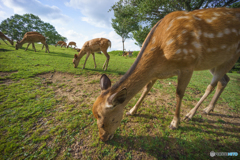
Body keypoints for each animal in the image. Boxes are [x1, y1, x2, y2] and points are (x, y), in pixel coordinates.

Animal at [91, 6, 240, 141]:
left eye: (104, 122)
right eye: (94, 117)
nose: (103, 138)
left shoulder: (188, 65)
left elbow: (179, 93)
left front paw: (174, 123)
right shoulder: (155, 72)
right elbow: (146, 90)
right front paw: (132, 111)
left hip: (231, 57)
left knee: (211, 86)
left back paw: (191, 114)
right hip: (213, 62)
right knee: (224, 80)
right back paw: (208, 109)